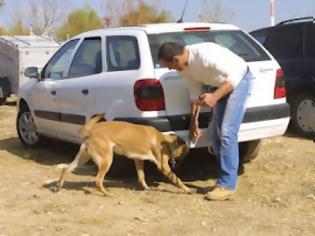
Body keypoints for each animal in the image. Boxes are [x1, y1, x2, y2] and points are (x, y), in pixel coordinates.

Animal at [57, 113, 191, 195]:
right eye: (185, 151)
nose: (180, 162)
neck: (163, 139)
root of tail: (90, 131)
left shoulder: (138, 160)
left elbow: (141, 176)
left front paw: (146, 188)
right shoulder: (163, 166)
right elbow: (177, 180)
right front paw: (187, 189)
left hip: (82, 158)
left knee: (65, 169)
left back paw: (59, 186)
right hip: (106, 160)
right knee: (98, 179)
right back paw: (106, 193)